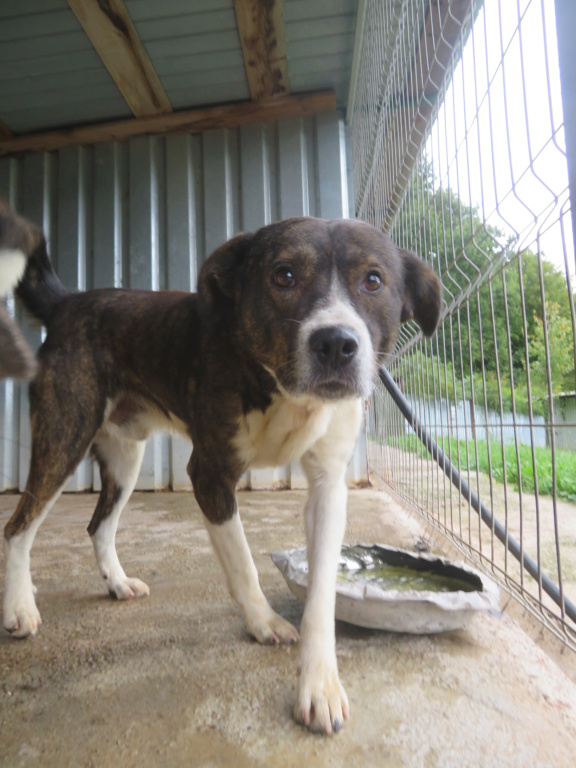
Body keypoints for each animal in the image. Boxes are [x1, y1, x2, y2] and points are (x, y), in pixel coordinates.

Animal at [1, 201, 440, 736]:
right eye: (284, 275)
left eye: (373, 280)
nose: (336, 343)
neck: (284, 392)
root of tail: (68, 303)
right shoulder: (209, 474)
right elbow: (243, 563)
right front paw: (263, 623)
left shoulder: (328, 487)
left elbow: (321, 594)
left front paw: (320, 686)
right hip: (64, 436)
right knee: (18, 527)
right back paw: (20, 606)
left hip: (126, 457)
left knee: (97, 525)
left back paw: (116, 583)